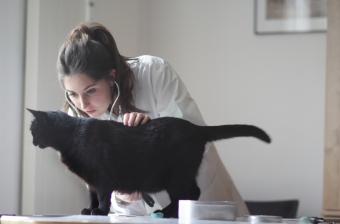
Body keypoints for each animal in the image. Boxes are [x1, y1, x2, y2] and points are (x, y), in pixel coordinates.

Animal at [27, 108, 270, 217]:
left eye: (33, 129)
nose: (31, 141)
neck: (71, 136)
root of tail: (196, 128)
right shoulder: (90, 182)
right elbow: (93, 197)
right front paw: (90, 210)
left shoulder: (102, 178)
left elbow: (104, 197)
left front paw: (101, 212)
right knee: (189, 193)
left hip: (177, 175)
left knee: (192, 192)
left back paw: (168, 212)